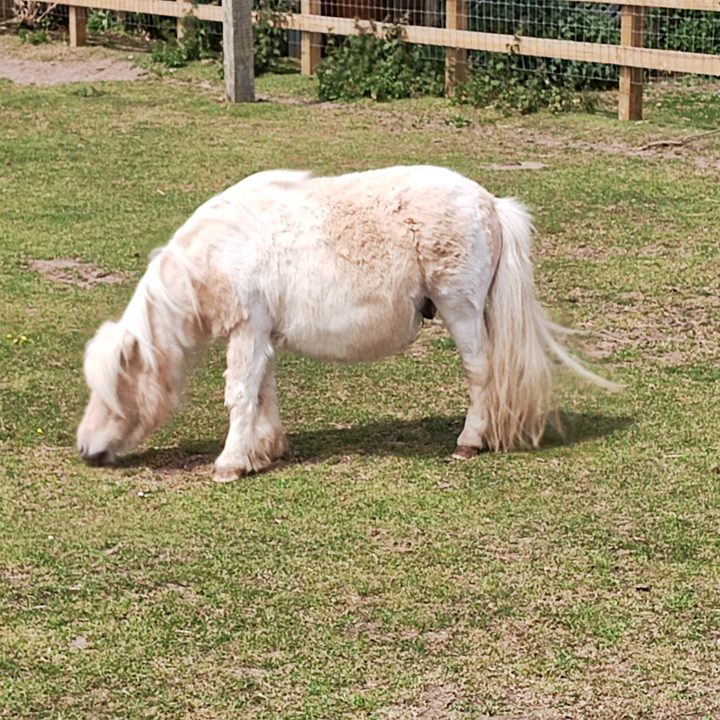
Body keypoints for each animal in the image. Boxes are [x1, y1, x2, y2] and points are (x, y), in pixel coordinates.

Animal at [77, 165, 618, 482]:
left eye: (115, 391)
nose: (85, 449)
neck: (220, 247)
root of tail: (490, 204)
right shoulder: (261, 334)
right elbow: (263, 393)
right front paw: (266, 450)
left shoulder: (246, 329)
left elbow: (240, 394)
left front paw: (230, 463)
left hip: (461, 310)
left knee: (480, 373)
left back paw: (469, 441)